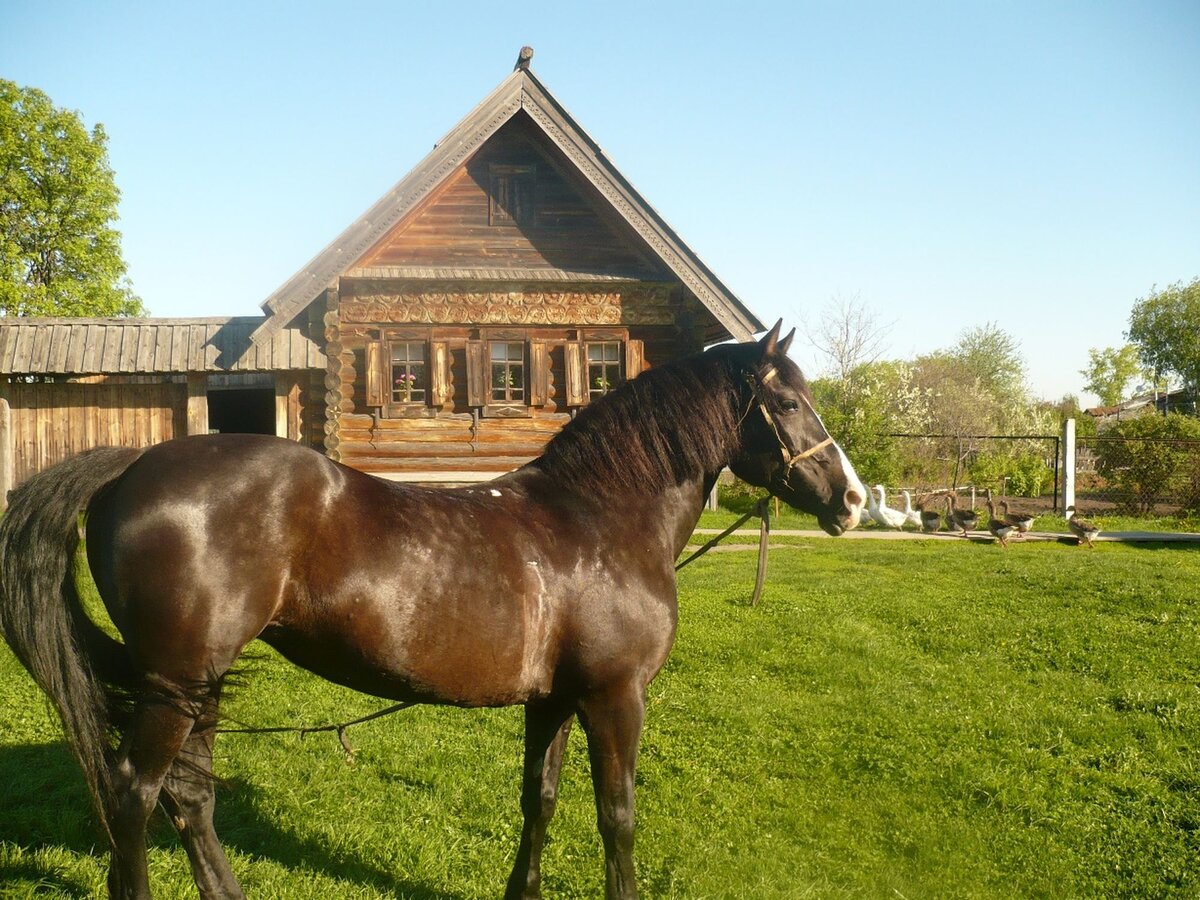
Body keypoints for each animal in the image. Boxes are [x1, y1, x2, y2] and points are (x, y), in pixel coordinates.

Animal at [0, 321, 864, 897]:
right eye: (789, 402)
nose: (852, 501)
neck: (599, 516)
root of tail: (128, 468)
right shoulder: (615, 698)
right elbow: (616, 816)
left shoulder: (554, 700)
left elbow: (539, 800)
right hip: (175, 683)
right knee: (135, 794)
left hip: (195, 684)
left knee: (189, 796)